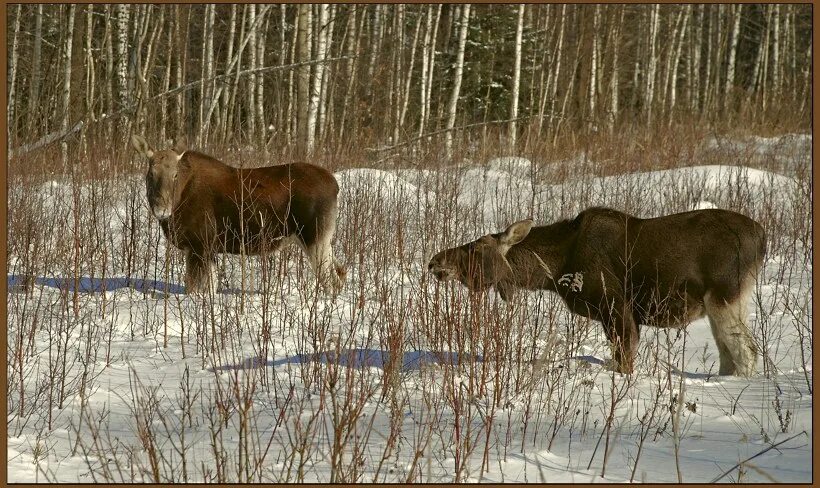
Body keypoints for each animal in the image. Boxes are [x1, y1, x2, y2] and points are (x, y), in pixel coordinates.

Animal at [133, 133, 344, 294]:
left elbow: (194, 289)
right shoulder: (207, 248)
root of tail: (335, 185)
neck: (179, 202)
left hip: (314, 237)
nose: (161, 209)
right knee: (341, 272)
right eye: (151, 174)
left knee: (332, 281)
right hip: (323, 239)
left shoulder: (199, 245)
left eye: (175, 175)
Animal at [426, 206, 764, 378]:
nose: (434, 261)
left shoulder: (615, 306)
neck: (555, 269)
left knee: (747, 350)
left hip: (724, 296)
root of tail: (762, 235)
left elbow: (624, 358)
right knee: (728, 354)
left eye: (476, 247)